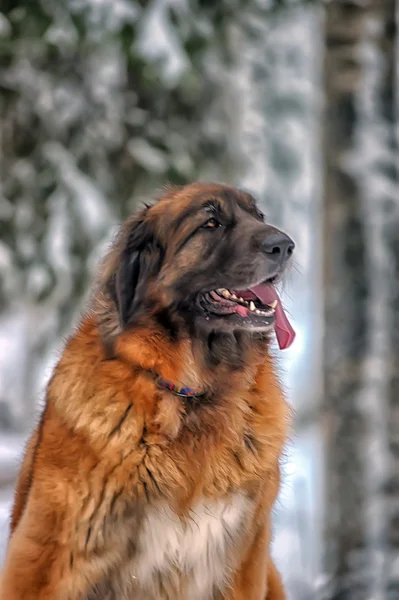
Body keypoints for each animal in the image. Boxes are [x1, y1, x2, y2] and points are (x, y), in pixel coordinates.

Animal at [0, 183, 296, 600]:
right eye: (211, 223)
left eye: (259, 216)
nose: (285, 246)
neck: (192, 394)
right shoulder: (52, 561)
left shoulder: (242, 561)